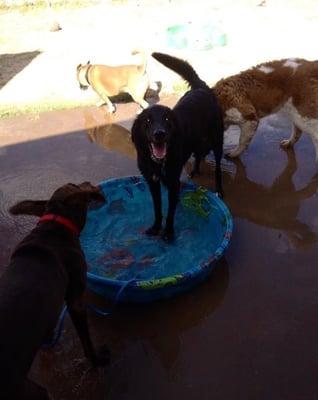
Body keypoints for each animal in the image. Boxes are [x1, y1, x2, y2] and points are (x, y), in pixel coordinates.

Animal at [0, 182, 109, 400]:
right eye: (76, 186)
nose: (90, 184)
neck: (55, 225)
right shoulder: (76, 301)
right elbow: (87, 343)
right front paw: (98, 360)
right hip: (33, 390)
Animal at [131, 52, 224, 242]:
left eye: (167, 119)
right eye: (148, 121)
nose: (159, 134)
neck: (159, 163)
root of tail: (201, 87)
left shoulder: (173, 182)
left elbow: (171, 210)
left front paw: (168, 232)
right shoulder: (153, 183)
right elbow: (158, 208)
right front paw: (156, 228)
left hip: (217, 140)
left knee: (218, 167)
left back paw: (219, 189)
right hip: (198, 141)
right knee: (198, 154)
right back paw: (195, 170)